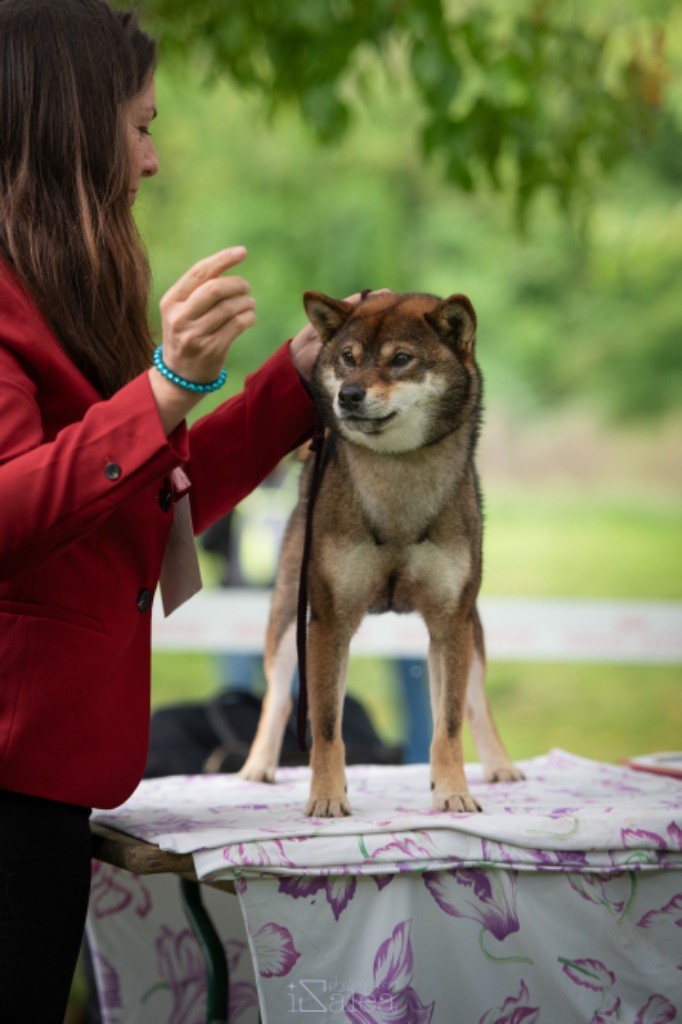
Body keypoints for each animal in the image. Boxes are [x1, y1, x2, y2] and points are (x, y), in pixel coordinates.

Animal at [238, 288, 520, 815]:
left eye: (401, 360)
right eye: (348, 358)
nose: (347, 395)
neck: (398, 488)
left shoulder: (450, 622)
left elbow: (449, 723)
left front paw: (452, 791)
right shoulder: (328, 623)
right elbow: (327, 727)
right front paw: (328, 798)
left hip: (471, 626)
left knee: (476, 698)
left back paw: (499, 764)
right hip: (288, 619)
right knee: (277, 697)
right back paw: (258, 766)